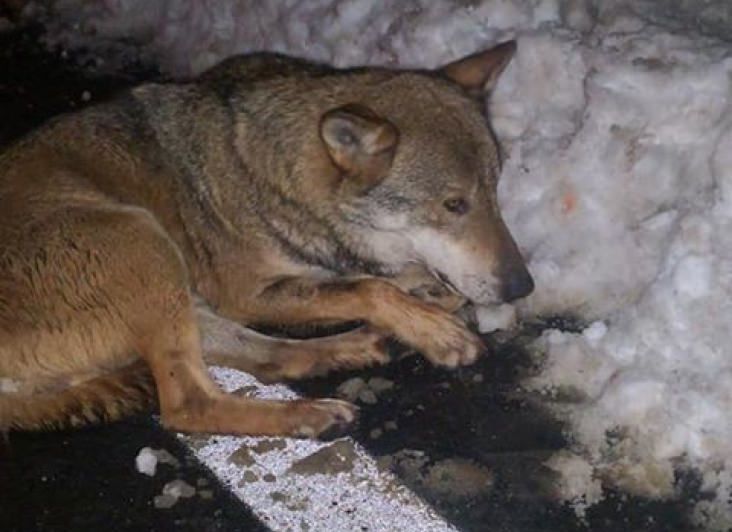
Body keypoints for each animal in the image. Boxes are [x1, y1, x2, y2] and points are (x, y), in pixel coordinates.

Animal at [0, 40, 533, 438]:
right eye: (454, 205)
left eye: (496, 189)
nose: (522, 287)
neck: (275, 174)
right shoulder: (246, 295)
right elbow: (370, 288)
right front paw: (434, 330)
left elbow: (384, 280)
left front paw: (423, 300)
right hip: (144, 241)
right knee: (189, 405)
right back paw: (308, 412)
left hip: (178, 292)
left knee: (275, 359)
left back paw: (361, 349)